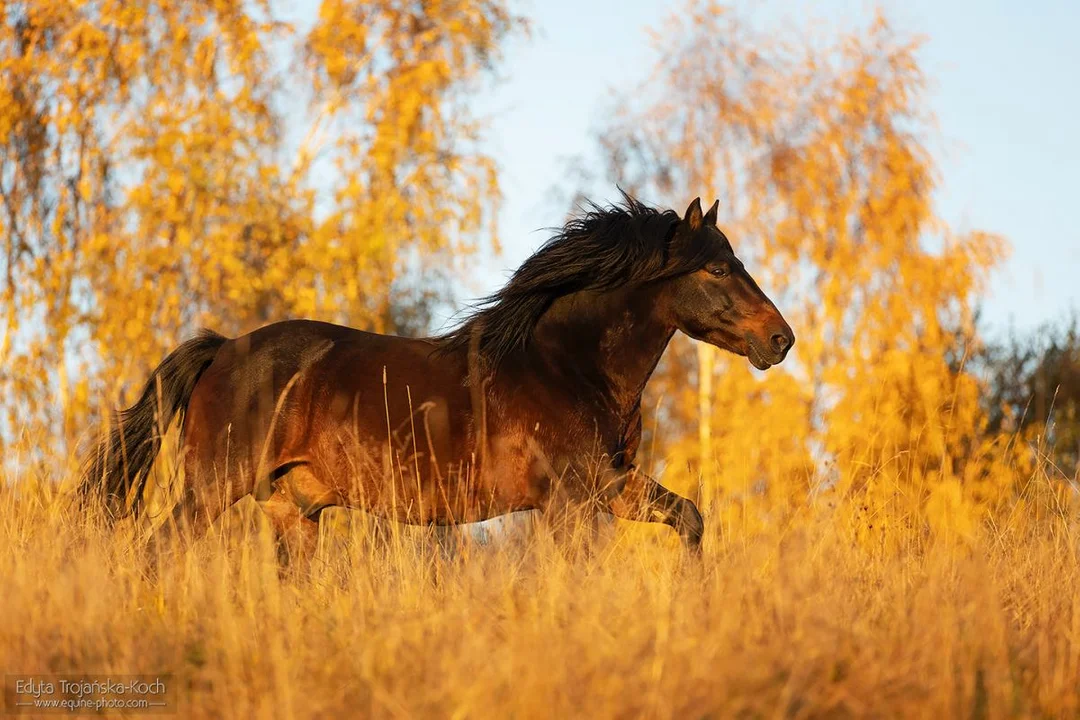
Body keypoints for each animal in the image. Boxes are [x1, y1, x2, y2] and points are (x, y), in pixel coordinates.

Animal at [76, 194, 794, 561]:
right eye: (717, 268)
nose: (779, 340)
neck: (565, 365)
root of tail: (224, 349)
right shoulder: (574, 498)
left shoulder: (611, 487)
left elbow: (690, 518)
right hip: (211, 489)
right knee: (155, 551)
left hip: (293, 512)